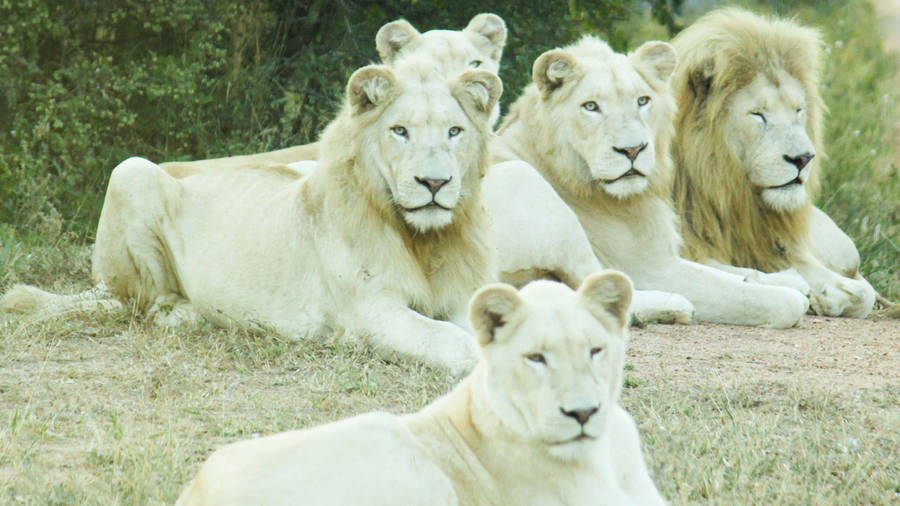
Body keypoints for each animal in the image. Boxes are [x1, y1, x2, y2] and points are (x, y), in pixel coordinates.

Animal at [1, 57, 502, 373]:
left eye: (454, 131)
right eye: (400, 131)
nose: (435, 183)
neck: (424, 240)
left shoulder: (460, 295)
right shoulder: (371, 314)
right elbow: (450, 340)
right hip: (131, 172)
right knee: (140, 303)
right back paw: (188, 314)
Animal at [492, 36, 811, 328]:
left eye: (642, 101)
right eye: (591, 106)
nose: (633, 150)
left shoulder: (664, 253)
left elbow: (729, 272)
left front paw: (787, 280)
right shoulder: (648, 267)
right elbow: (751, 297)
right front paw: (789, 295)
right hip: (523, 179)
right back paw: (677, 306)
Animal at [669, 8, 876, 318]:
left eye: (798, 110)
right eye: (758, 114)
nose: (803, 159)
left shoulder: (780, 246)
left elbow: (865, 294)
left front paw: (827, 295)